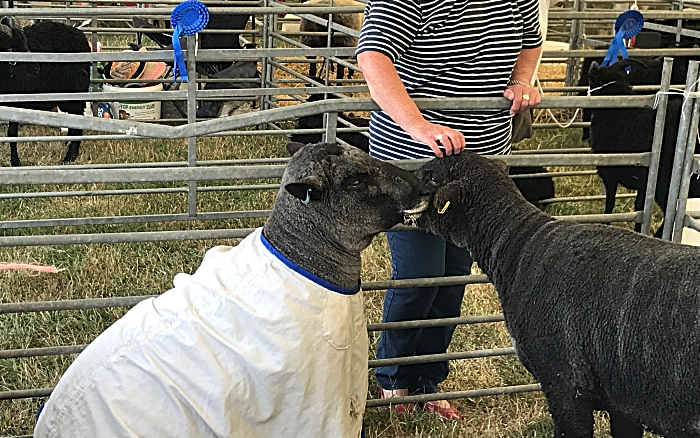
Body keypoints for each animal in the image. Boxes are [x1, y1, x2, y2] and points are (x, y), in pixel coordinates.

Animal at [0, 18, 90, 167]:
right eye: (12, 49)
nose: (36, 68)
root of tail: (79, 33)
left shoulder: (16, 104)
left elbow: (12, 133)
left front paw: (15, 162)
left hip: (74, 93)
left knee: (78, 123)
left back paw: (69, 157)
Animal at [584, 60, 700, 238]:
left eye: (591, 79)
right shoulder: (644, 183)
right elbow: (639, 208)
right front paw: (639, 231)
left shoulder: (610, 172)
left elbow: (610, 205)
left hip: (665, 182)